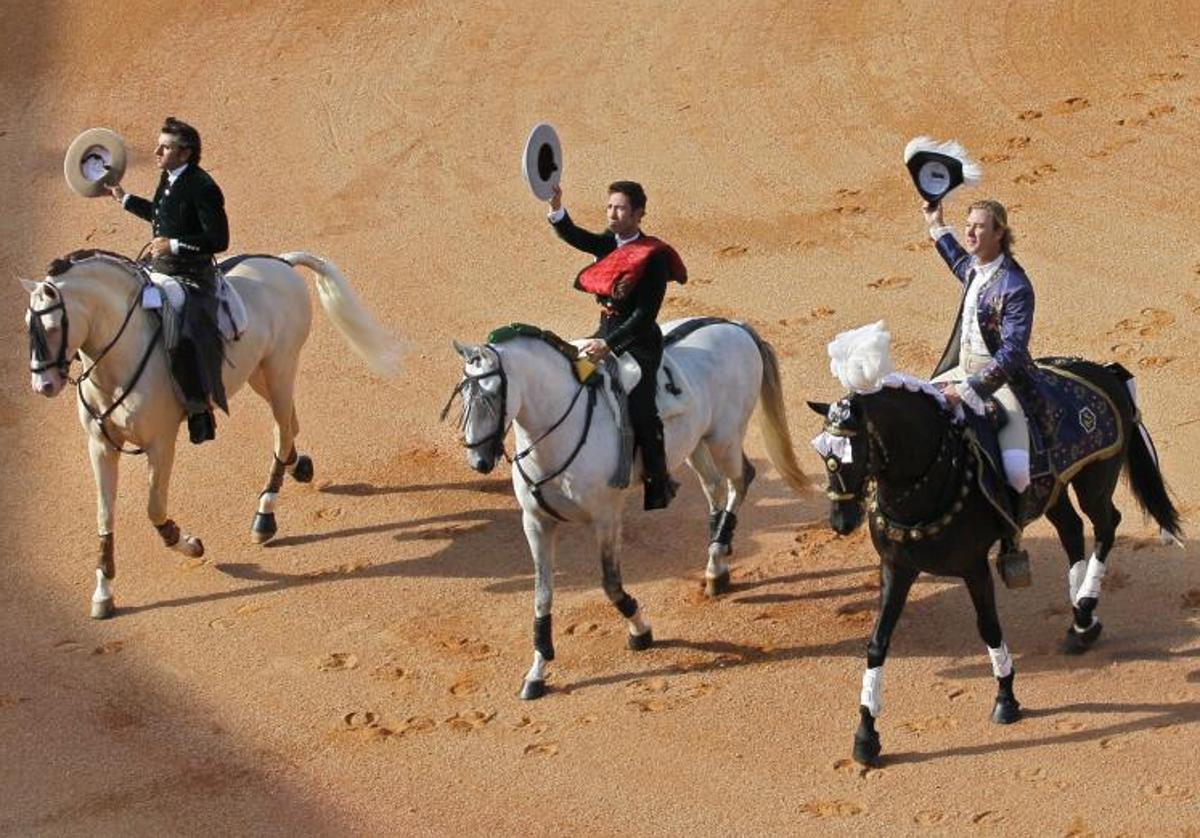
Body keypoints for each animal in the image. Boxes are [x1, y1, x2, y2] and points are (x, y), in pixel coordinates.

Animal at [24, 246, 398, 614]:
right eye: (29, 325)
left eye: (53, 326)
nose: (44, 385)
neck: (119, 359)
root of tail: (281, 263)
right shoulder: (100, 445)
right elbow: (104, 516)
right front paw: (103, 592)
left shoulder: (161, 443)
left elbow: (154, 508)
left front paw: (190, 545)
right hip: (257, 373)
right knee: (291, 424)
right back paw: (299, 467)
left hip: (280, 367)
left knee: (282, 429)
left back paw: (265, 515)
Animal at [448, 316, 806, 696]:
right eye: (462, 394)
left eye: (491, 395)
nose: (479, 461)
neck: (556, 427)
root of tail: (735, 325)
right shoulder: (536, 522)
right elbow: (542, 596)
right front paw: (537, 672)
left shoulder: (606, 519)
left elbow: (611, 584)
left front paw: (641, 631)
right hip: (695, 443)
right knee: (715, 488)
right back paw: (717, 568)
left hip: (724, 437)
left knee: (740, 480)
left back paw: (716, 561)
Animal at [806, 360, 1180, 763]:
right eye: (822, 454)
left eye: (853, 452)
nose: (841, 522)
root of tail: (1103, 370)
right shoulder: (896, 568)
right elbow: (878, 642)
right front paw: (866, 734)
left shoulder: (973, 566)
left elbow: (989, 627)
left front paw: (1006, 699)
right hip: (1052, 489)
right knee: (1072, 530)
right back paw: (1081, 622)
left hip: (1095, 479)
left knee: (1106, 526)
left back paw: (1084, 605)